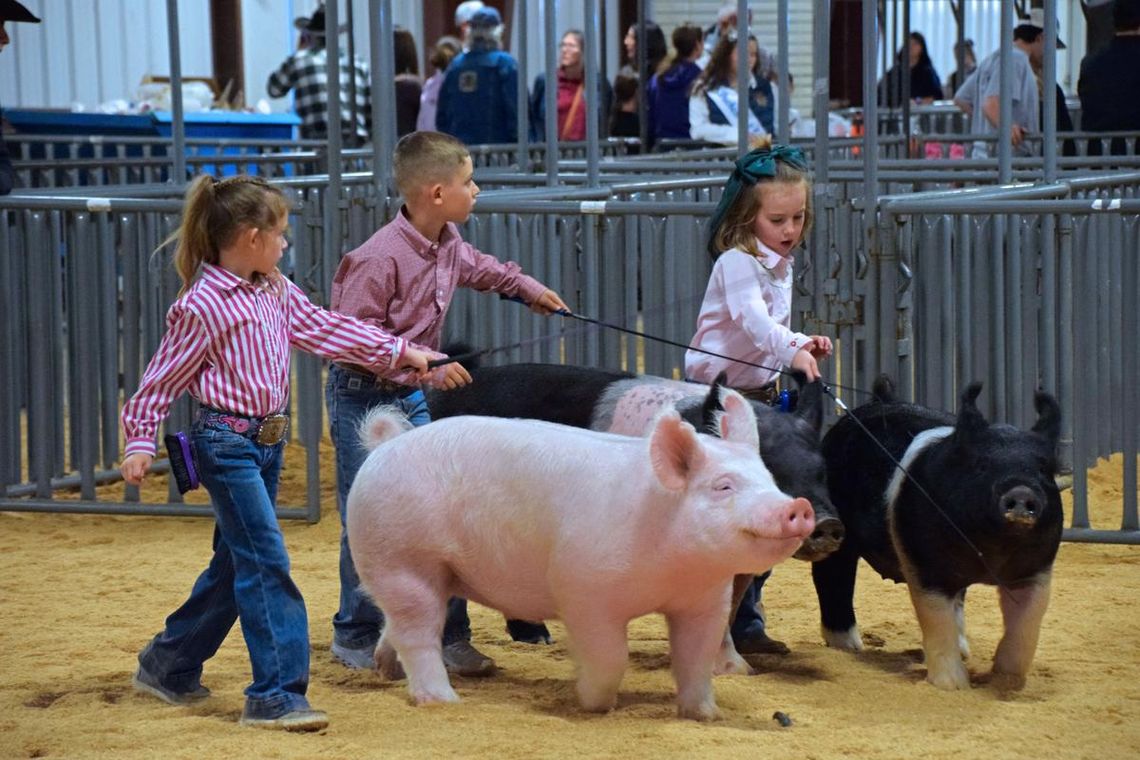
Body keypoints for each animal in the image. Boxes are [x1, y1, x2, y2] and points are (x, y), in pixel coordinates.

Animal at [346, 396, 815, 719]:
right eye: (723, 486)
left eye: (770, 480)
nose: (800, 506)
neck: (670, 568)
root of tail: (386, 444)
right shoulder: (585, 591)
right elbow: (610, 657)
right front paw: (591, 703)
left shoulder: (703, 602)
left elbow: (695, 658)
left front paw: (705, 714)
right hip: (402, 560)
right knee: (418, 632)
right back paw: (443, 700)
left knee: (398, 625)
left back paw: (385, 671)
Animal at [813, 377, 1063, 690]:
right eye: (981, 465)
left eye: (1044, 468)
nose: (1021, 492)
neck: (991, 553)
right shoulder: (925, 564)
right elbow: (936, 620)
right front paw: (953, 685)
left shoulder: (1036, 570)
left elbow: (1026, 624)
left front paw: (1007, 680)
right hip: (837, 534)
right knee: (832, 576)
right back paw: (849, 645)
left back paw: (964, 650)